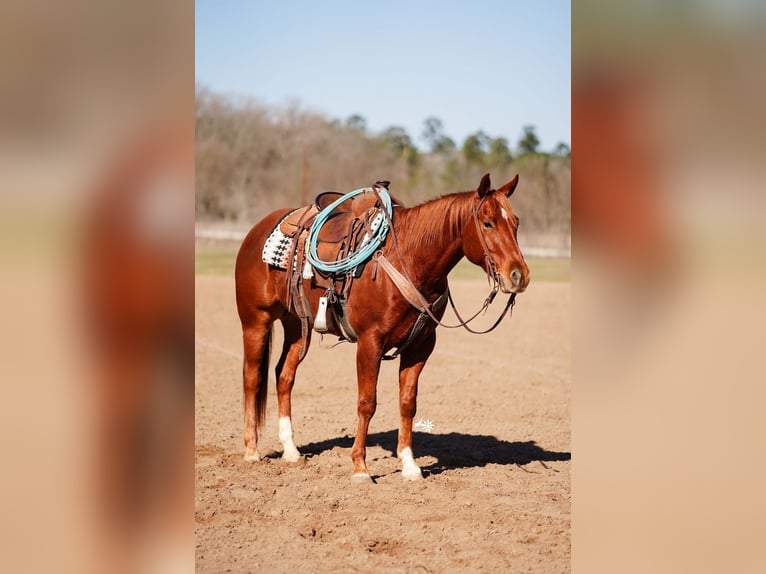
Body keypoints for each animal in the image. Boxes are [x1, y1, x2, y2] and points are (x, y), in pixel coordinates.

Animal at [234, 173, 530, 482]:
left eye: (516, 222)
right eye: (487, 223)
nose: (518, 275)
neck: (410, 260)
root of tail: (257, 230)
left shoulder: (421, 345)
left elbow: (408, 402)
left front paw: (409, 464)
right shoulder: (369, 342)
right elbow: (367, 402)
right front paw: (360, 467)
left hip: (296, 325)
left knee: (284, 376)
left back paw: (291, 451)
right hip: (255, 320)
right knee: (252, 378)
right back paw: (252, 451)